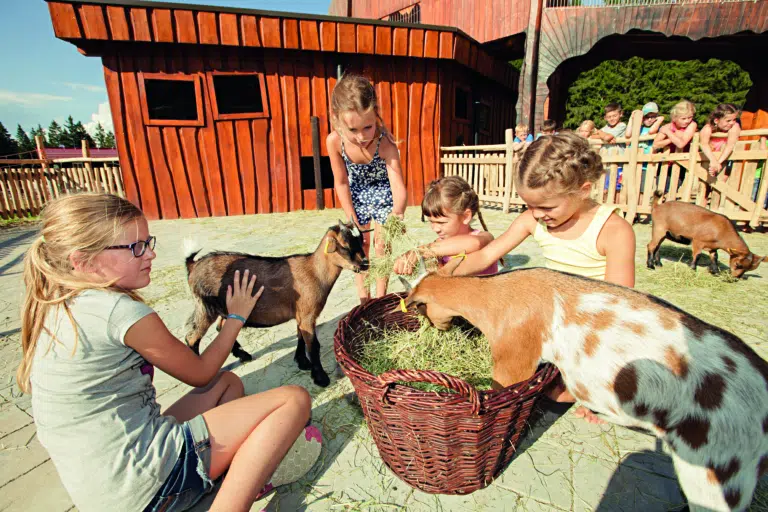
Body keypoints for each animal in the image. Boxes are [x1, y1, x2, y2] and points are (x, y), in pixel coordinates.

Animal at [183, 221, 368, 388]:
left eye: (360, 240)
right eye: (345, 246)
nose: (365, 264)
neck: (314, 272)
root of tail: (193, 265)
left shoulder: (301, 315)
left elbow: (301, 337)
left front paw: (302, 362)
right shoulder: (308, 315)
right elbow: (313, 346)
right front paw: (320, 378)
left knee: (221, 327)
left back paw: (243, 355)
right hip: (206, 307)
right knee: (192, 336)